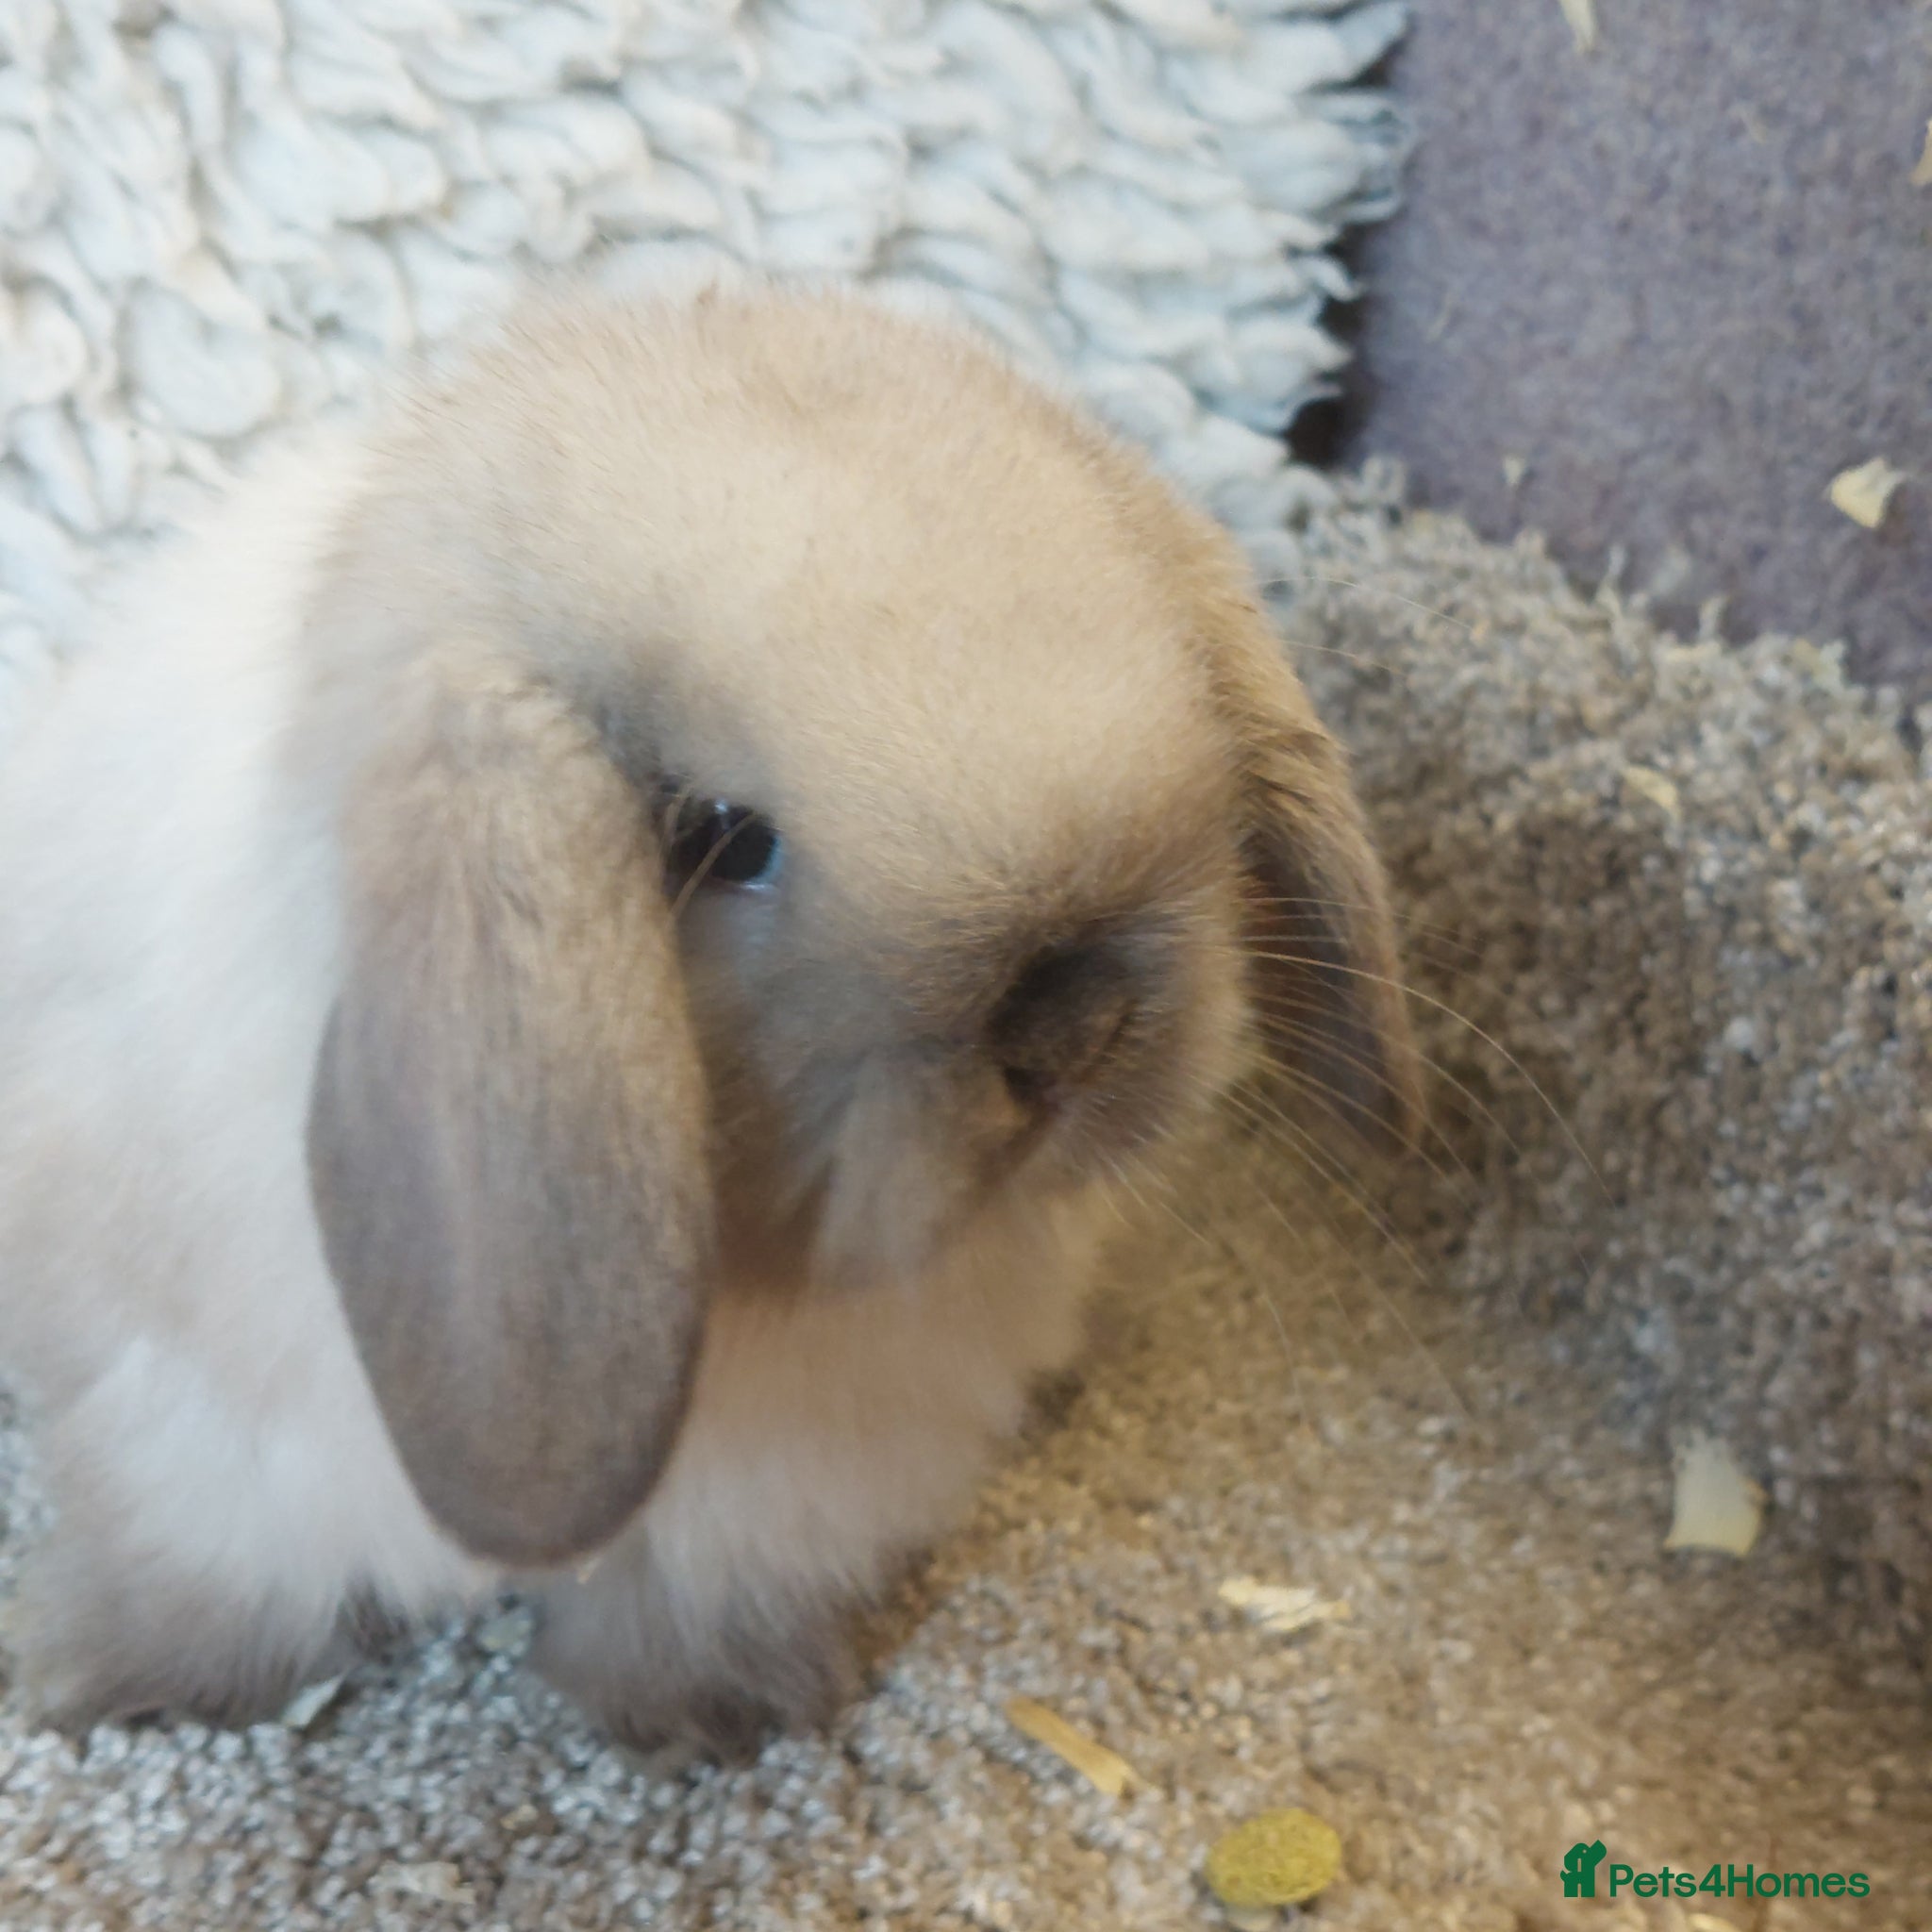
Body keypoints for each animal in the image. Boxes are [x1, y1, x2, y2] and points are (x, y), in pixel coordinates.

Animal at [0, 275, 1418, 1756]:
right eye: (720, 839)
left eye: (1187, 703)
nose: (1074, 1032)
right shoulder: (208, 1444)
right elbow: (214, 1574)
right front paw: (113, 1683)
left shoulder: (790, 1496)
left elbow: (692, 1599)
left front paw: (709, 1716)